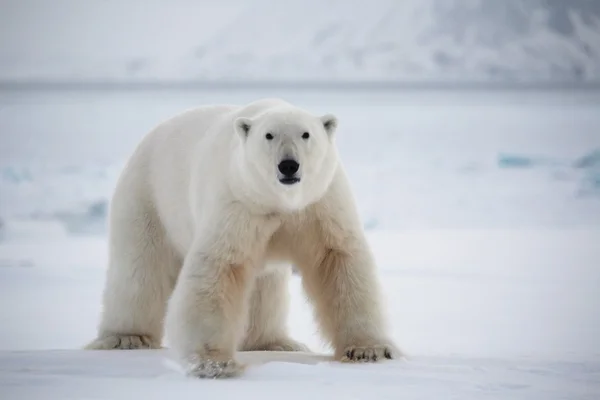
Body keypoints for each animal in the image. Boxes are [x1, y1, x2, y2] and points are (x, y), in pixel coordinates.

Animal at [85, 97, 398, 378]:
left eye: (306, 134)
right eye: (269, 135)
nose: (288, 165)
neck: (280, 202)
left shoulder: (320, 204)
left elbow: (338, 261)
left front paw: (369, 350)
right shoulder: (238, 201)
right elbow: (219, 268)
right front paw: (215, 363)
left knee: (265, 287)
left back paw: (276, 342)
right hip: (148, 197)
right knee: (141, 270)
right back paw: (126, 337)